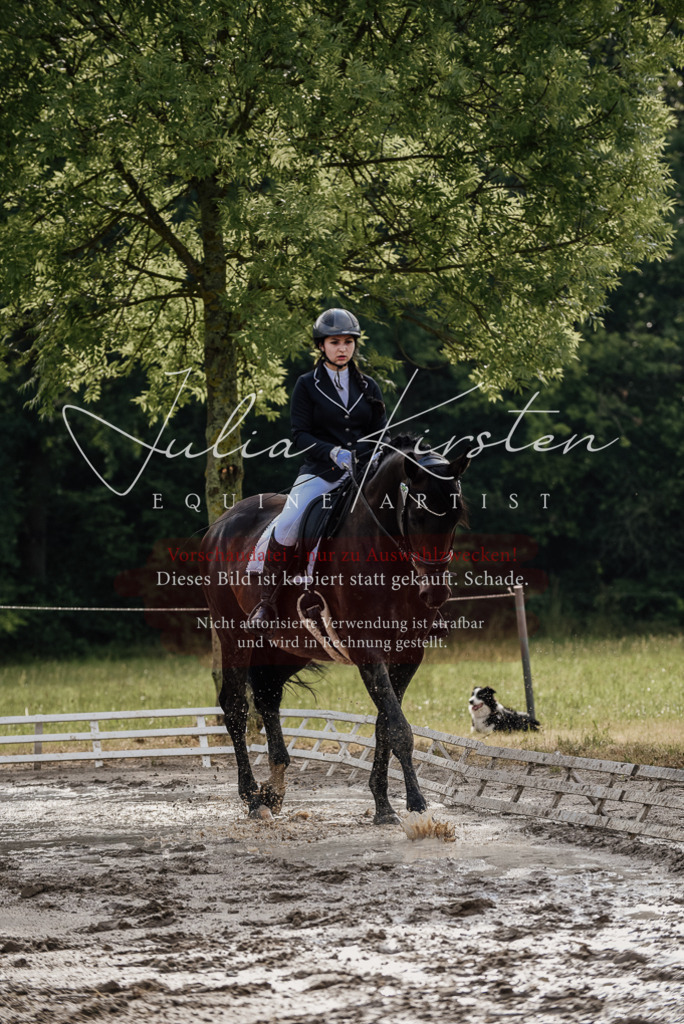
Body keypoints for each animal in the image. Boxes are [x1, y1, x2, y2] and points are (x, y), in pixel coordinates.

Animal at [201, 438, 469, 824]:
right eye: (417, 516)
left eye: (456, 516)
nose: (435, 593)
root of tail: (222, 522)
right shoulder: (367, 651)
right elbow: (399, 728)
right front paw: (417, 805)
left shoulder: (407, 654)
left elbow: (385, 724)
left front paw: (383, 804)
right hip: (234, 635)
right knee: (235, 705)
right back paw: (252, 796)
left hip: (287, 646)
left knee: (267, 695)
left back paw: (274, 789)